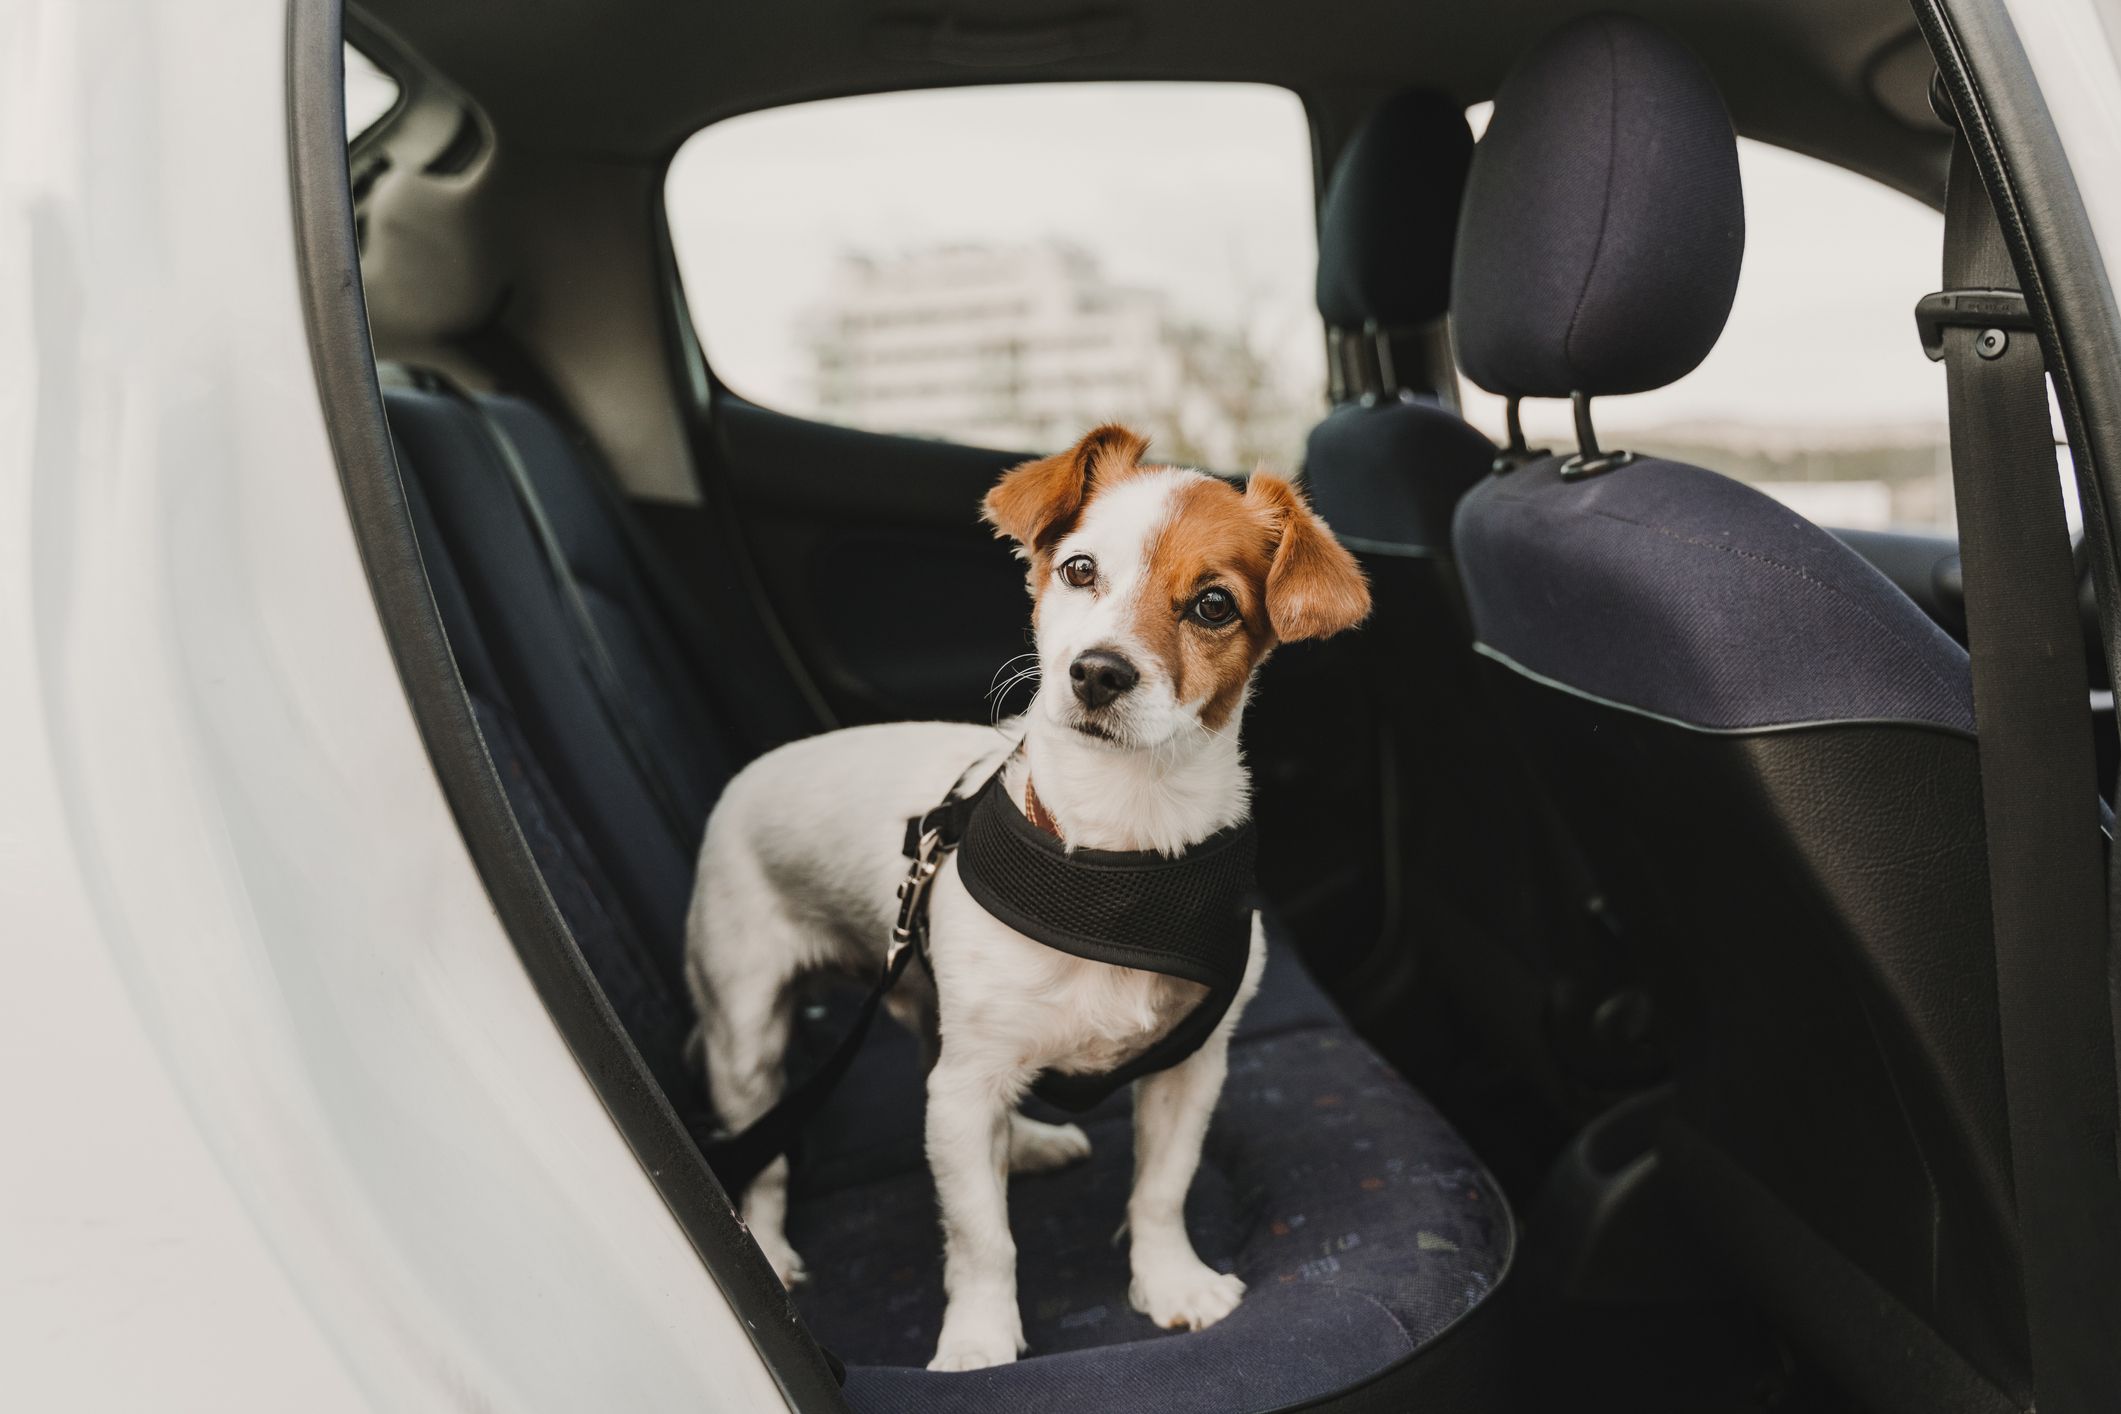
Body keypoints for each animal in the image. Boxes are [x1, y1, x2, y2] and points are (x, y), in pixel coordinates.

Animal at [687, 423, 1365, 1373]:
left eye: (1213, 606)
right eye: (1079, 570)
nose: (1098, 673)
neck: (1115, 852)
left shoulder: (1189, 1068)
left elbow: (1161, 1188)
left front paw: (1171, 1283)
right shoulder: (965, 1087)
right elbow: (982, 1238)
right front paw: (977, 1340)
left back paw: (1029, 1145)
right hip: (747, 1036)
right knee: (769, 1155)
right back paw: (772, 1247)